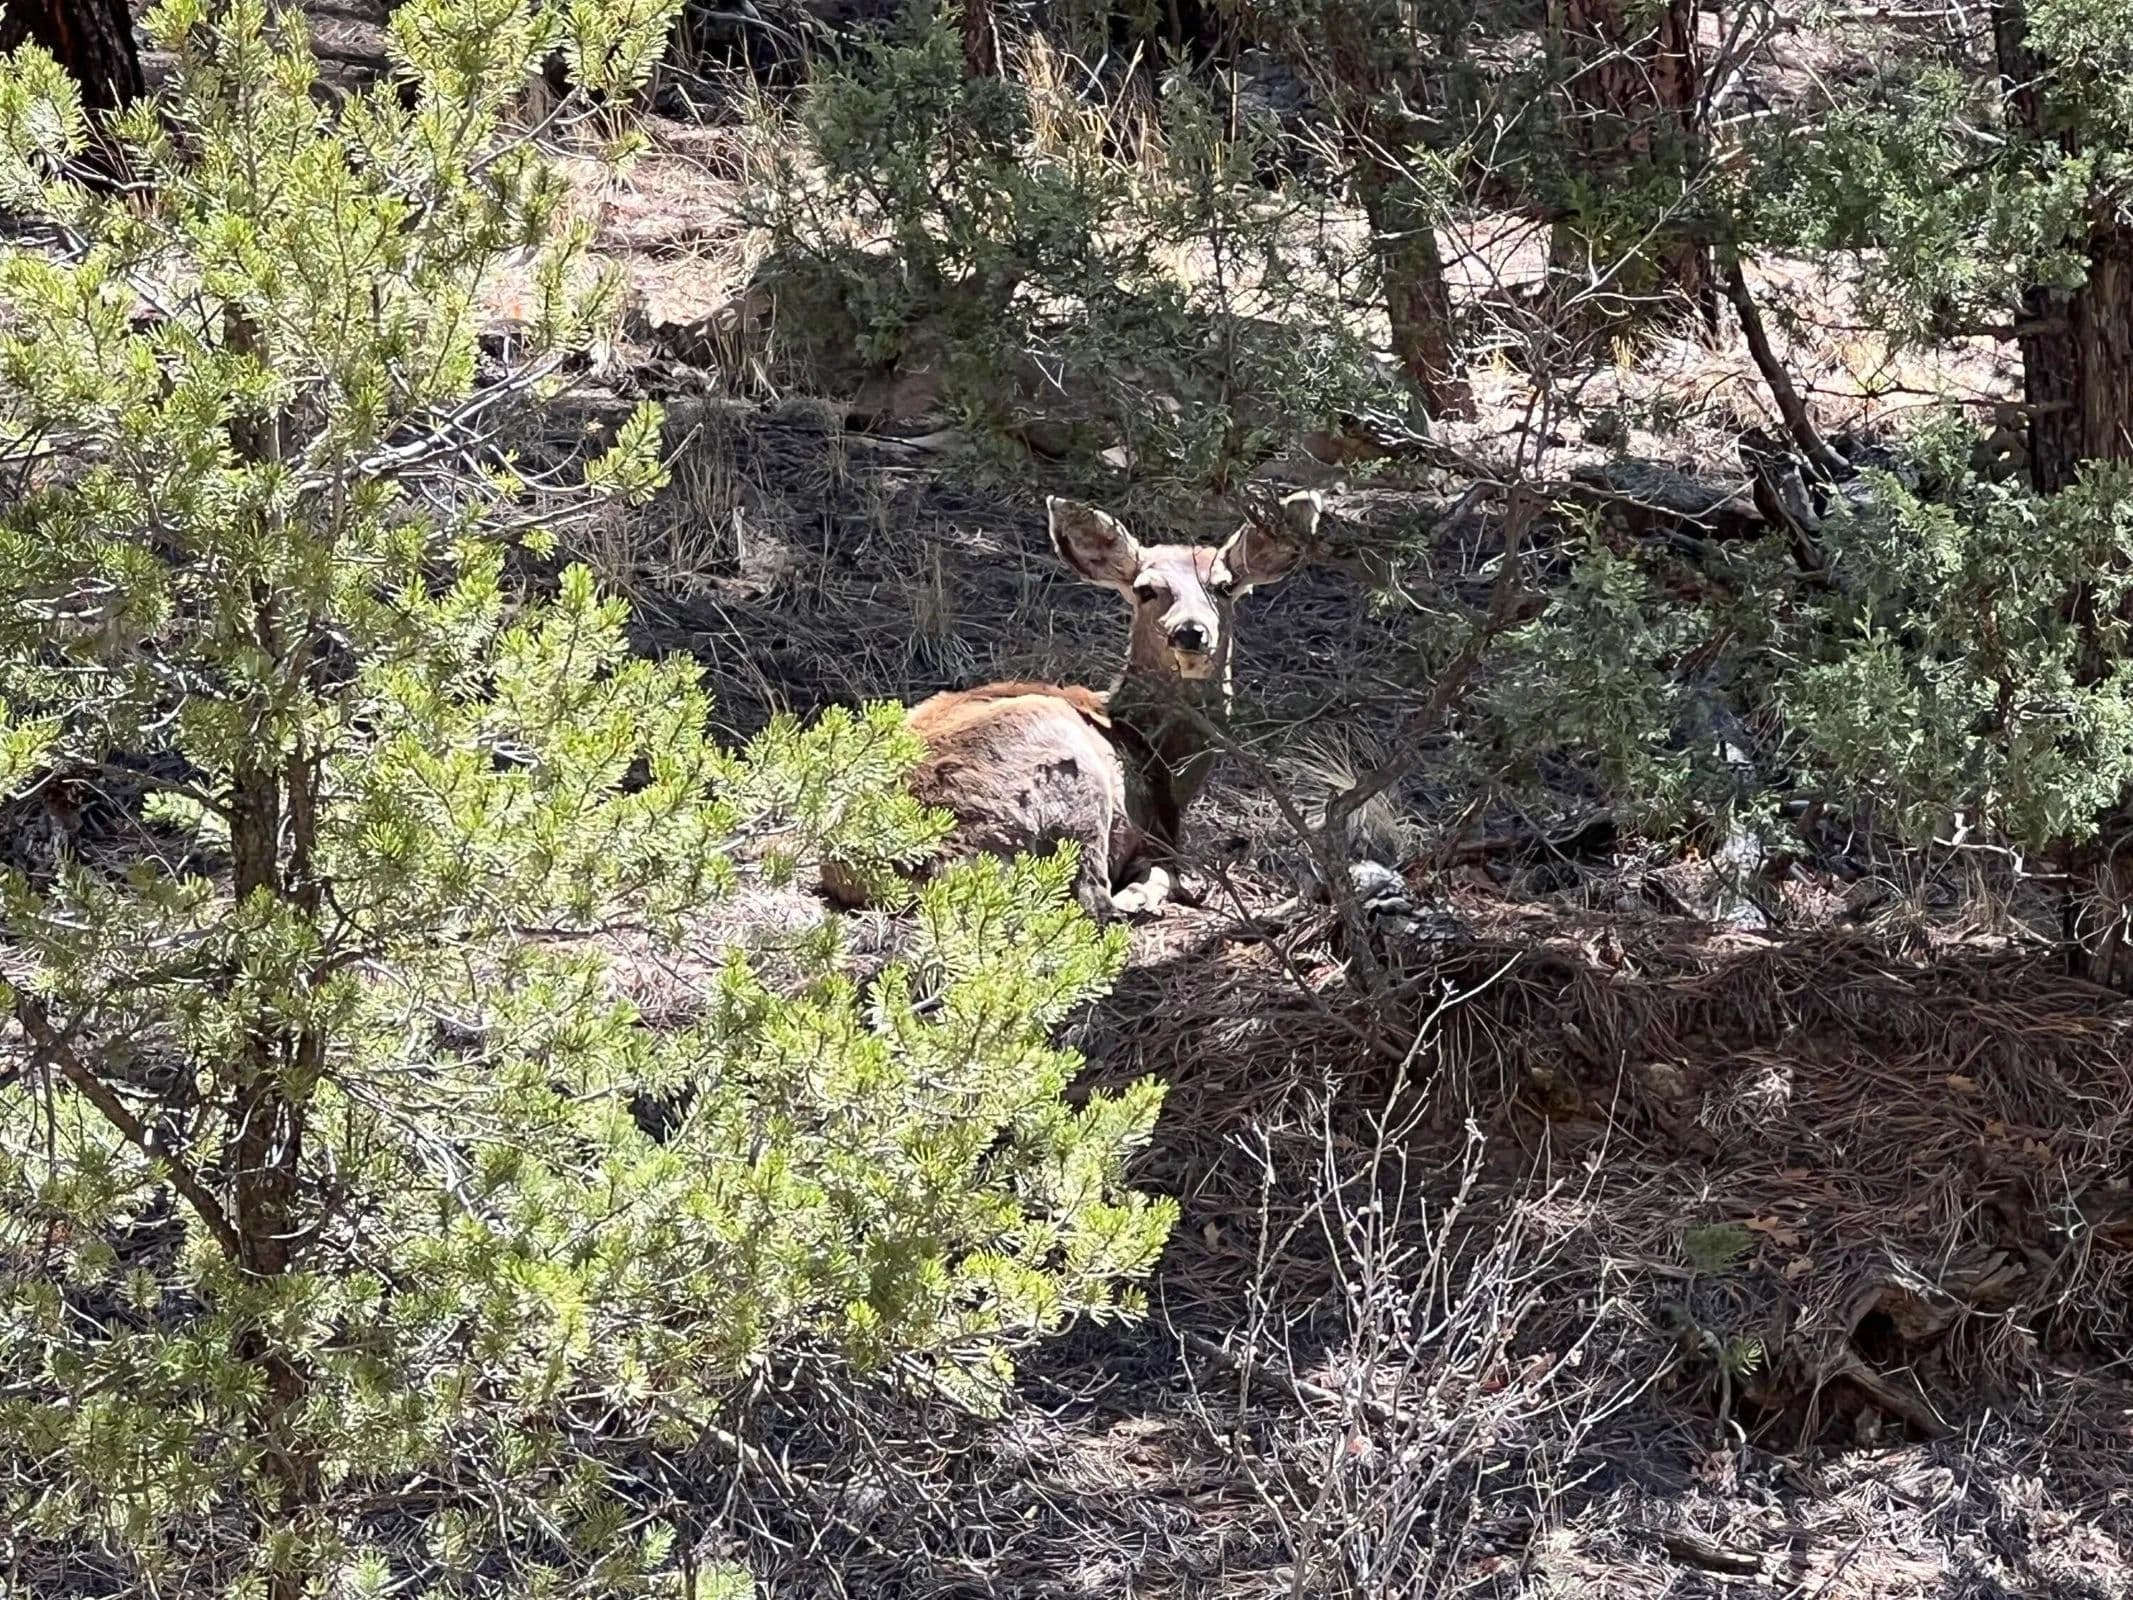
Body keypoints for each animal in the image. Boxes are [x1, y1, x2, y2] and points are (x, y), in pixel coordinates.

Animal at [828, 488, 1320, 919]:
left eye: (1224, 586)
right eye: (1146, 589)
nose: (1190, 631)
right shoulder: (1154, 834)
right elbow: (1165, 871)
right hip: (1071, 776)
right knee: (1093, 898)